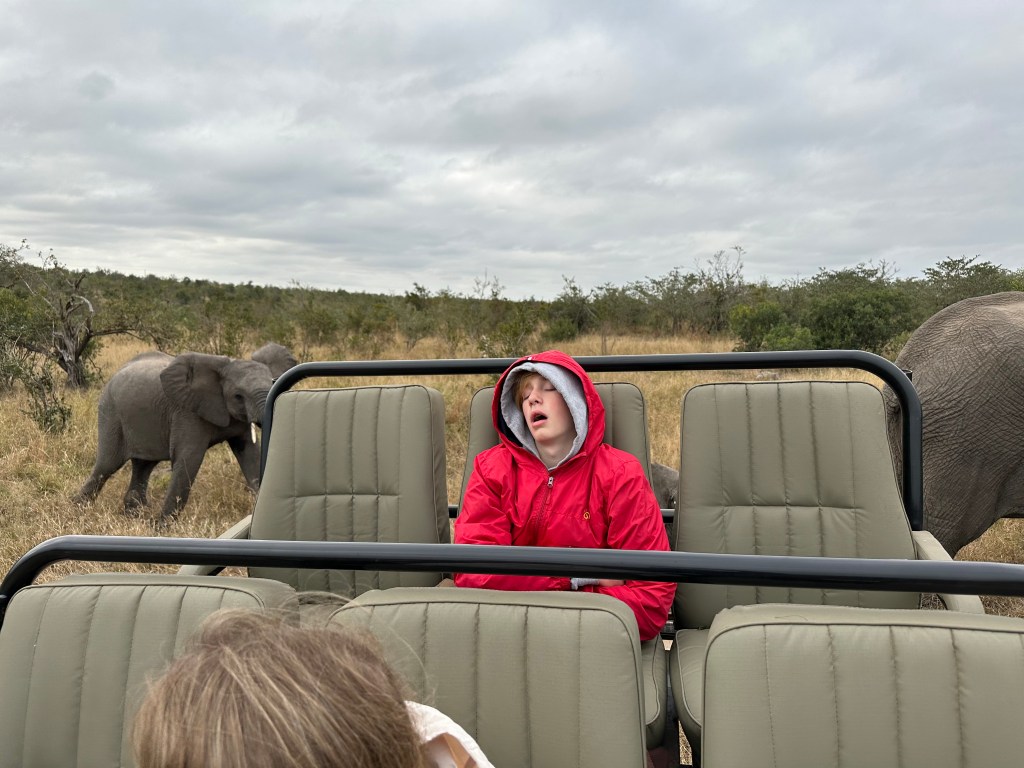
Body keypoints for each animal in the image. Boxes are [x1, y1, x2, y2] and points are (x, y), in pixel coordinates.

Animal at [76, 346, 291, 520]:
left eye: (274, 384)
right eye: (238, 396)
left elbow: (250, 455)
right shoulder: (187, 412)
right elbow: (189, 459)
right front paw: (160, 528)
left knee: (143, 465)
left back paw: (133, 515)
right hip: (110, 412)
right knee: (107, 465)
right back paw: (78, 508)